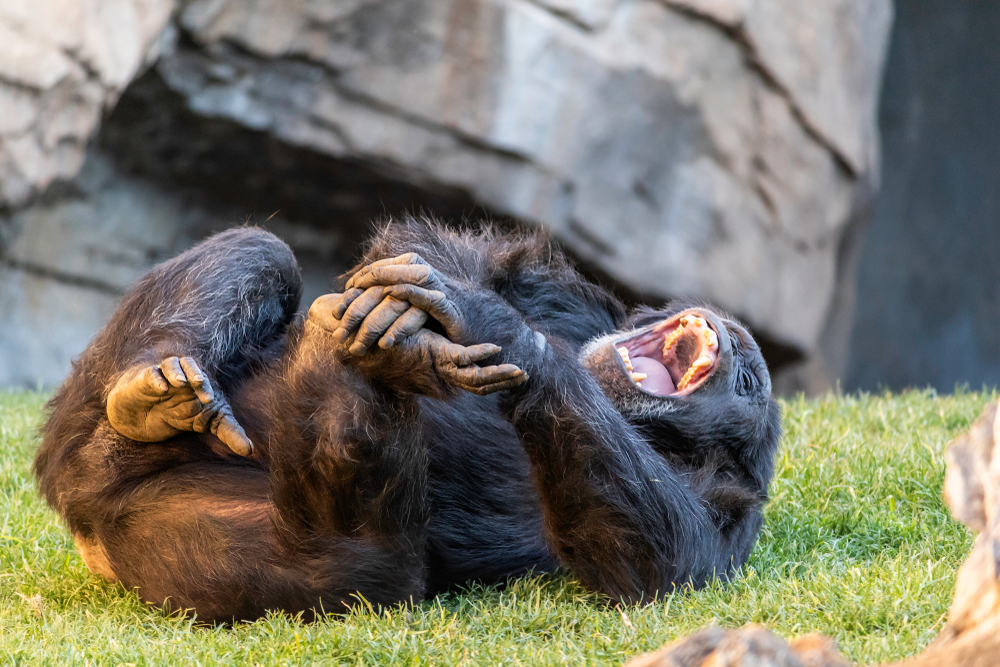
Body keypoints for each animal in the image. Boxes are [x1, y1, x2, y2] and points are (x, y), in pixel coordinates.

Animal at [33, 222, 780, 624]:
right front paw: (443, 307)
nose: (739, 339)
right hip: (89, 405)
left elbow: (667, 558)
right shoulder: (582, 308)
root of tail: (84, 517)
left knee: (367, 568)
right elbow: (473, 258)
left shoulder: (730, 521)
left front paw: (488, 329)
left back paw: (344, 344)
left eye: (748, 384)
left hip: (156, 536)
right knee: (263, 246)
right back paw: (154, 386)